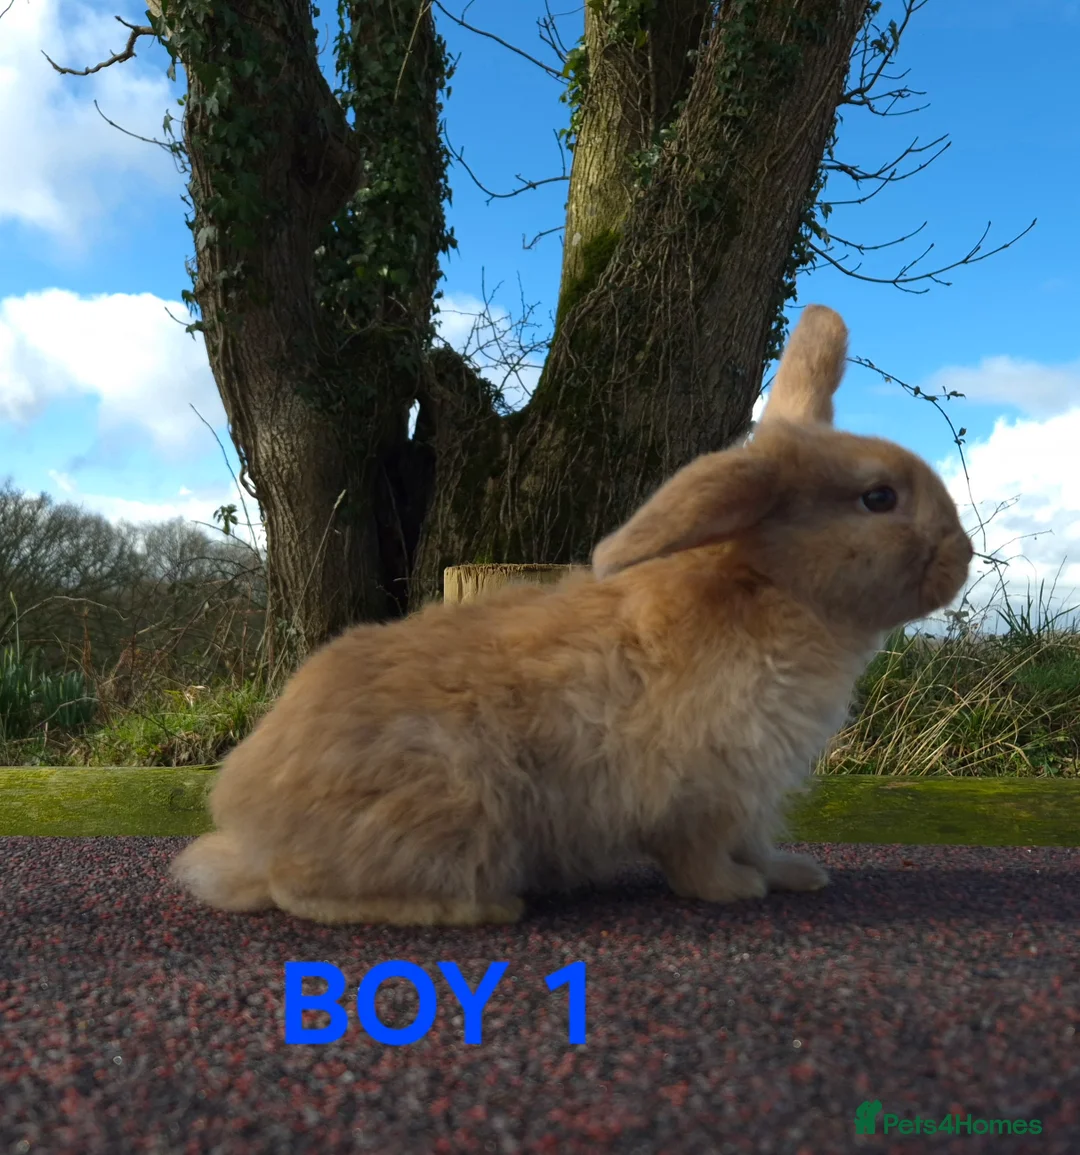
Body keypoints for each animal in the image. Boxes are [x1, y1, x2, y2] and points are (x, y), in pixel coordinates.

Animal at [171, 305, 974, 926]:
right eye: (878, 498)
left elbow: (756, 841)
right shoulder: (703, 792)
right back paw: (479, 907)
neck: (769, 587)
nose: (962, 556)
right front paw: (736, 891)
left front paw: (792, 873)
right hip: (453, 812)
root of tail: (249, 819)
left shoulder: (754, 793)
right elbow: (701, 859)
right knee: (297, 891)